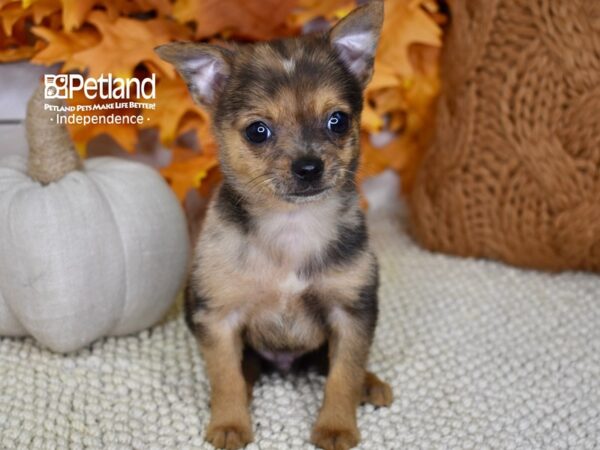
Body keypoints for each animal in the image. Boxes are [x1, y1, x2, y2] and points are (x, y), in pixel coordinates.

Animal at [155, 1, 392, 448]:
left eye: (337, 121)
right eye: (257, 131)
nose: (309, 167)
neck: (291, 225)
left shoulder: (351, 312)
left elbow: (343, 373)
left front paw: (336, 426)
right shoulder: (219, 317)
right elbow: (226, 376)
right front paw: (230, 424)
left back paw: (370, 383)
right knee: (243, 368)